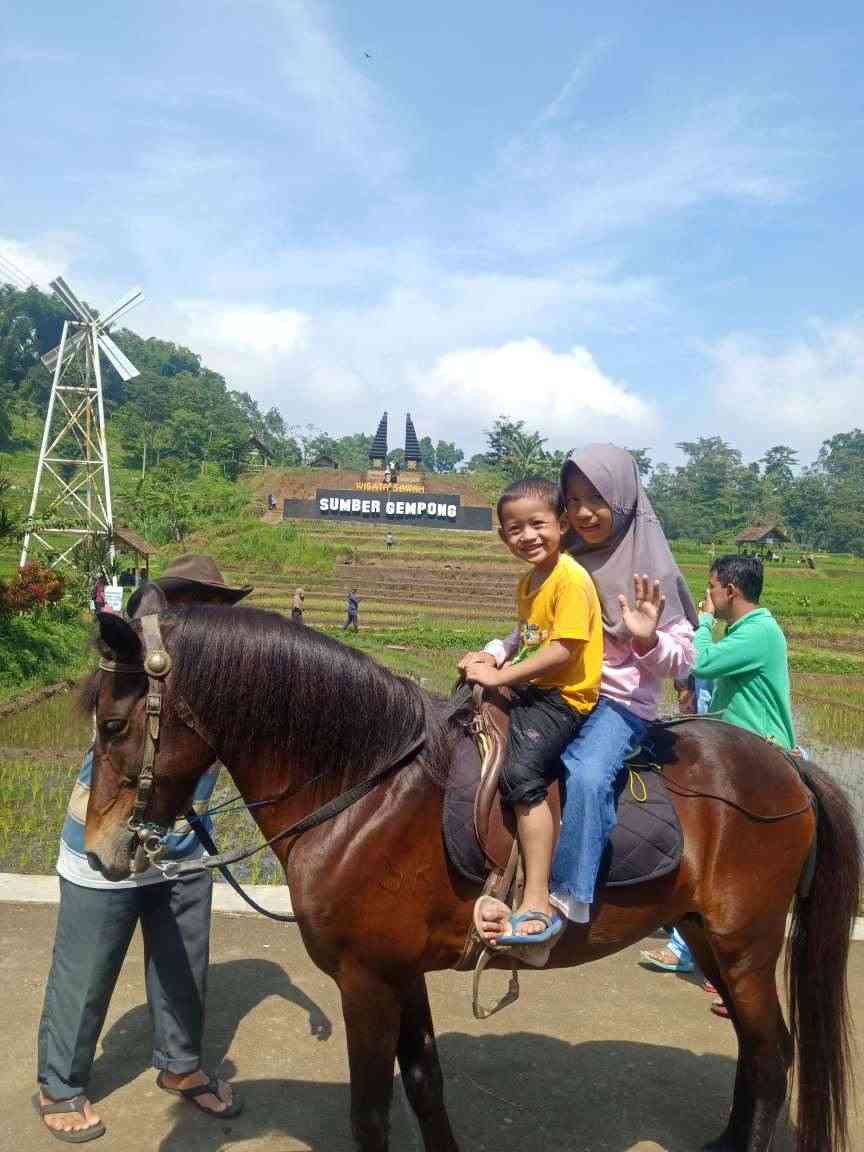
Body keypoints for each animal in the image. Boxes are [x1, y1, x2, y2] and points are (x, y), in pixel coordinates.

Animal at [82, 603, 861, 1152]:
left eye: (114, 726)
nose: (97, 852)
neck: (365, 789)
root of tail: (786, 764)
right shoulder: (399, 973)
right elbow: (426, 1086)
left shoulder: (365, 980)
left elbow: (370, 1114)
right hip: (706, 936)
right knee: (755, 1051)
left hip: (745, 944)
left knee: (773, 1056)